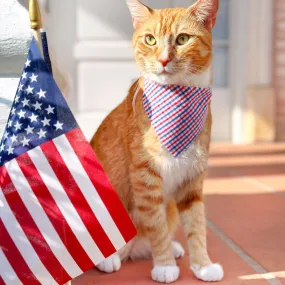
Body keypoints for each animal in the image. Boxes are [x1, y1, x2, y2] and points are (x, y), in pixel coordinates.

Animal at [90, 0, 223, 280]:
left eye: (182, 39)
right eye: (150, 39)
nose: (163, 59)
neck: (180, 100)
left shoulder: (192, 178)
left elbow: (197, 225)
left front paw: (203, 265)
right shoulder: (145, 177)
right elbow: (156, 226)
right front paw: (164, 266)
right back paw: (110, 258)